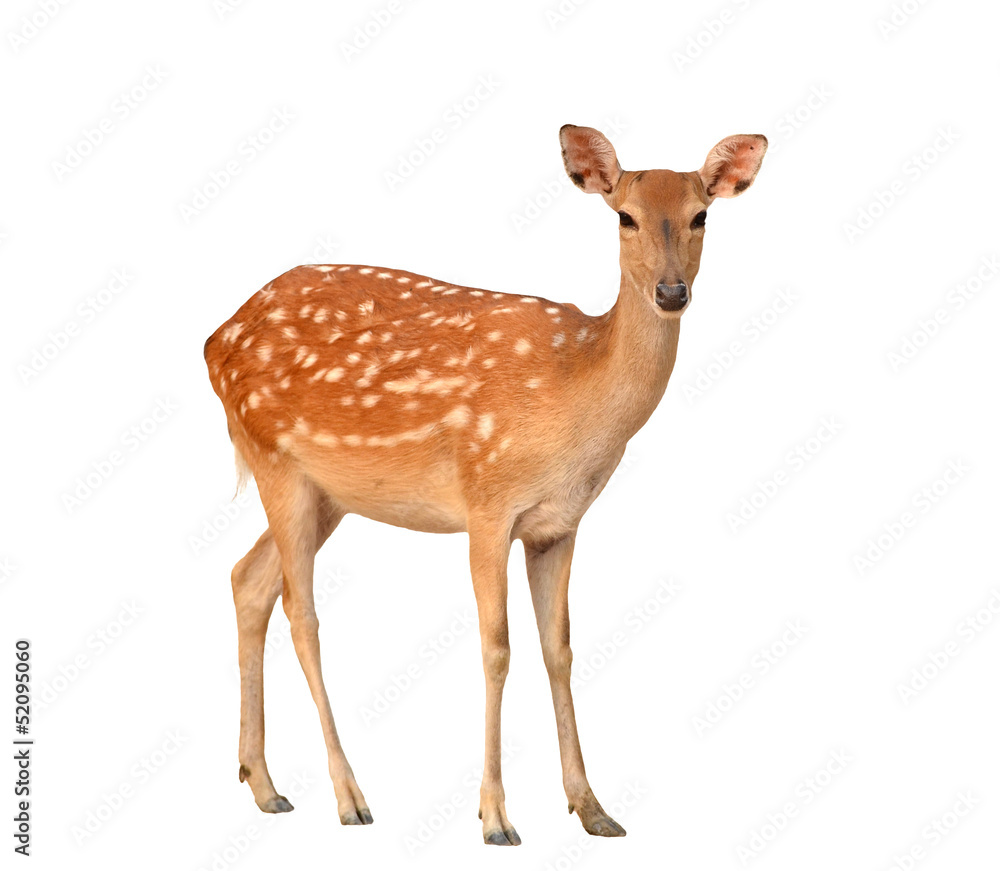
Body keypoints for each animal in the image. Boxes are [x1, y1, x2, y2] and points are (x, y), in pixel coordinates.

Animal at [204, 124, 766, 846]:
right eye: (624, 217)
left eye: (701, 216)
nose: (671, 293)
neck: (575, 396)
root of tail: (213, 340)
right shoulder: (486, 501)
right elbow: (496, 648)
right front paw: (496, 817)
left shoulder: (559, 524)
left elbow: (560, 649)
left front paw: (592, 807)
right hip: (275, 457)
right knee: (302, 613)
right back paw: (349, 796)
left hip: (327, 493)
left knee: (248, 579)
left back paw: (265, 784)